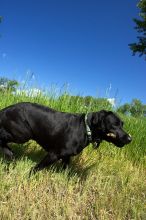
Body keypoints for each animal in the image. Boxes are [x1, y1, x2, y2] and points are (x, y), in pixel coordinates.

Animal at [0, 102, 132, 174]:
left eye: (122, 124)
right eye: (114, 124)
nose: (129, 139)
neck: (85, 128)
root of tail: (4, 110)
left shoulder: (66, 158)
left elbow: (65, 172)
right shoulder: (54, 154)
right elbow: (36, 168)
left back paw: (9, 154)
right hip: (22, 134)